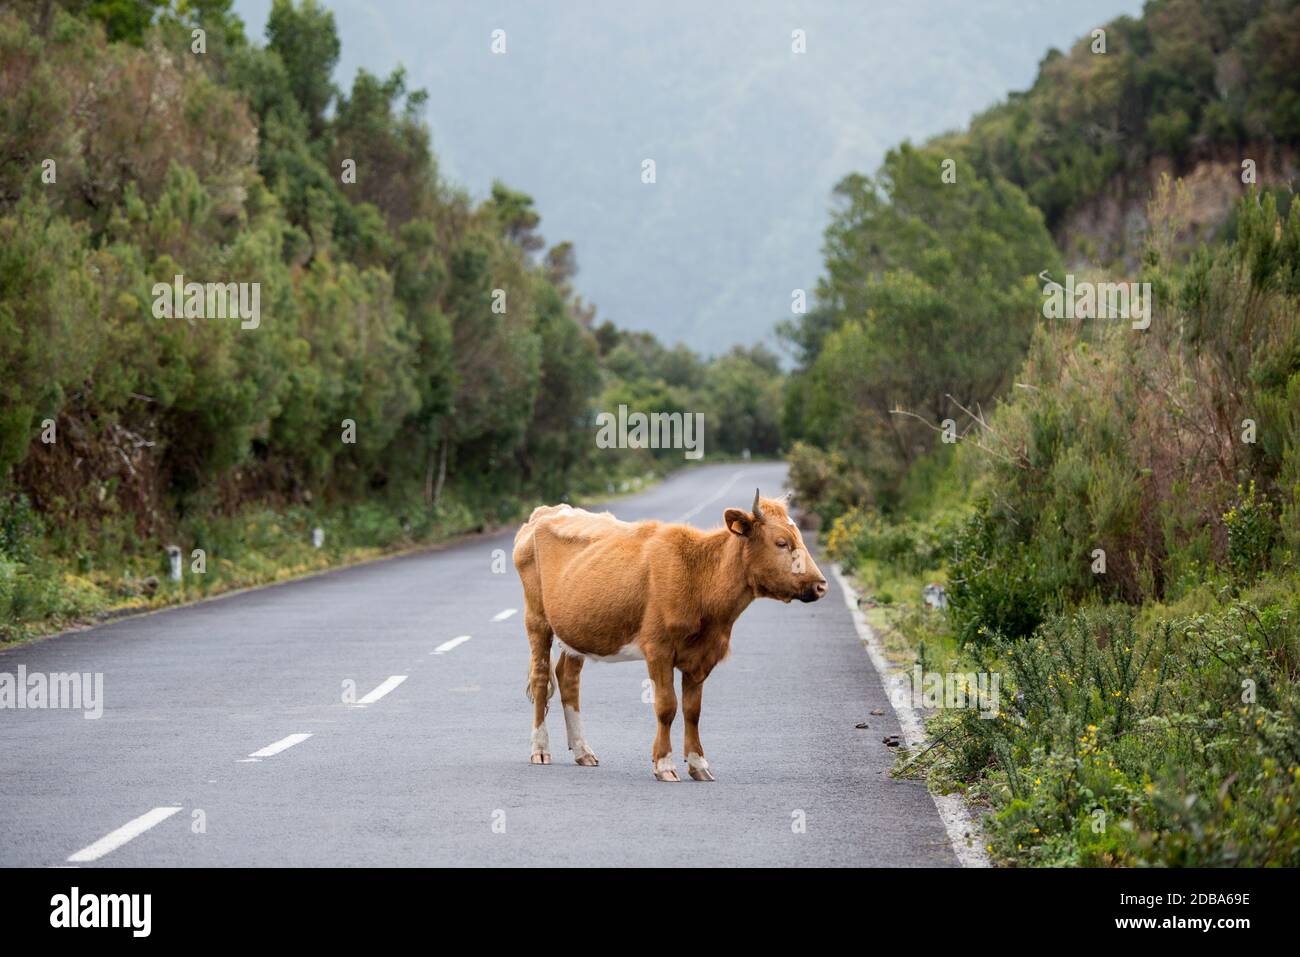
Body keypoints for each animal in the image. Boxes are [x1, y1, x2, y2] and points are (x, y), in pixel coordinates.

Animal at [506, 488, 821, 780]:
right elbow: (667, 706)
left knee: (568, 679)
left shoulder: (703, 655)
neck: (699, 576)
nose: (820, 584)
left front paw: (698, 764)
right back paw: (540, 749)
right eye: (781, 543)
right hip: (537, 619)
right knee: (541, 678)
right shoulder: (658, 649)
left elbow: (693, 710)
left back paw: (583, 750)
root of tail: (545, 512)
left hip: (576, 630)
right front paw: (665, 764)